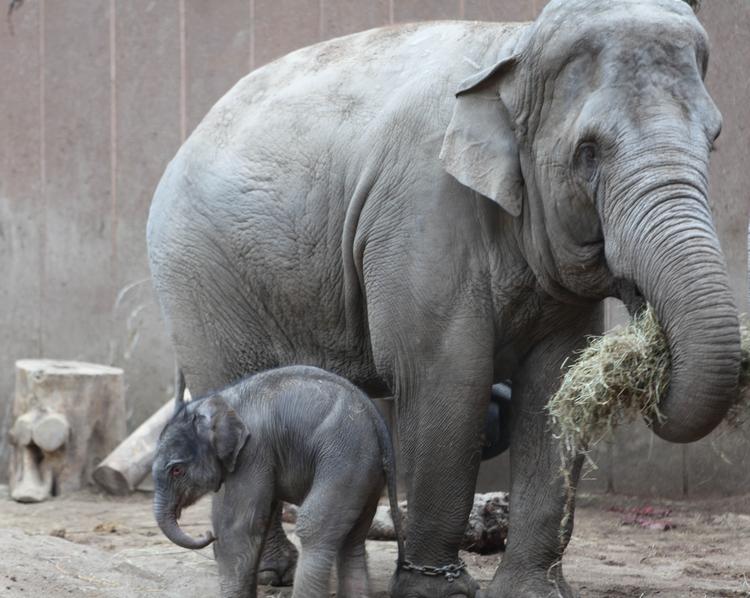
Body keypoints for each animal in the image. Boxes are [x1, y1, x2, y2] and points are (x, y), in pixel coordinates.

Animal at [153, 365, 404, 598]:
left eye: (176, 470)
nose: (206, 534)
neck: (221, 400)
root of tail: (376, 420)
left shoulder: (253, 452)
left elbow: (239, 528)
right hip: (366, 474)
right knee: (353, 540)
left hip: (344, 460)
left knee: (313, 527)